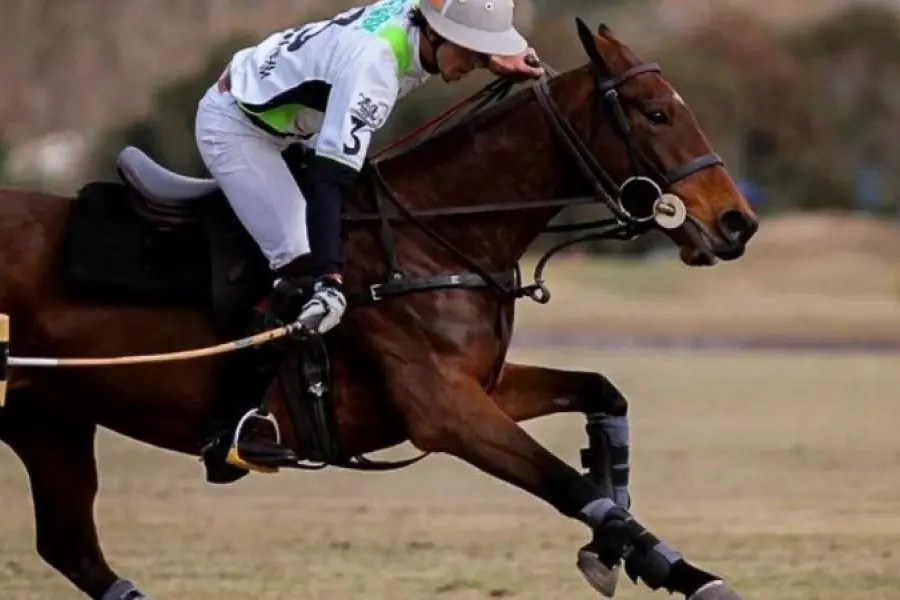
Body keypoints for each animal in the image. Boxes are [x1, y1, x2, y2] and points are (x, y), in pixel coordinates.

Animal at [0, 19, 757, 600]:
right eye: (656, 113)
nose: (737, 223)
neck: (434, 235)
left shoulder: (482, 385)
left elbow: (603, 395)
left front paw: (623, 554)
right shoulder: (443, 411)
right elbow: (569, 484)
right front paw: (683, 572)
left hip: (50, 421)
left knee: (73, 548)